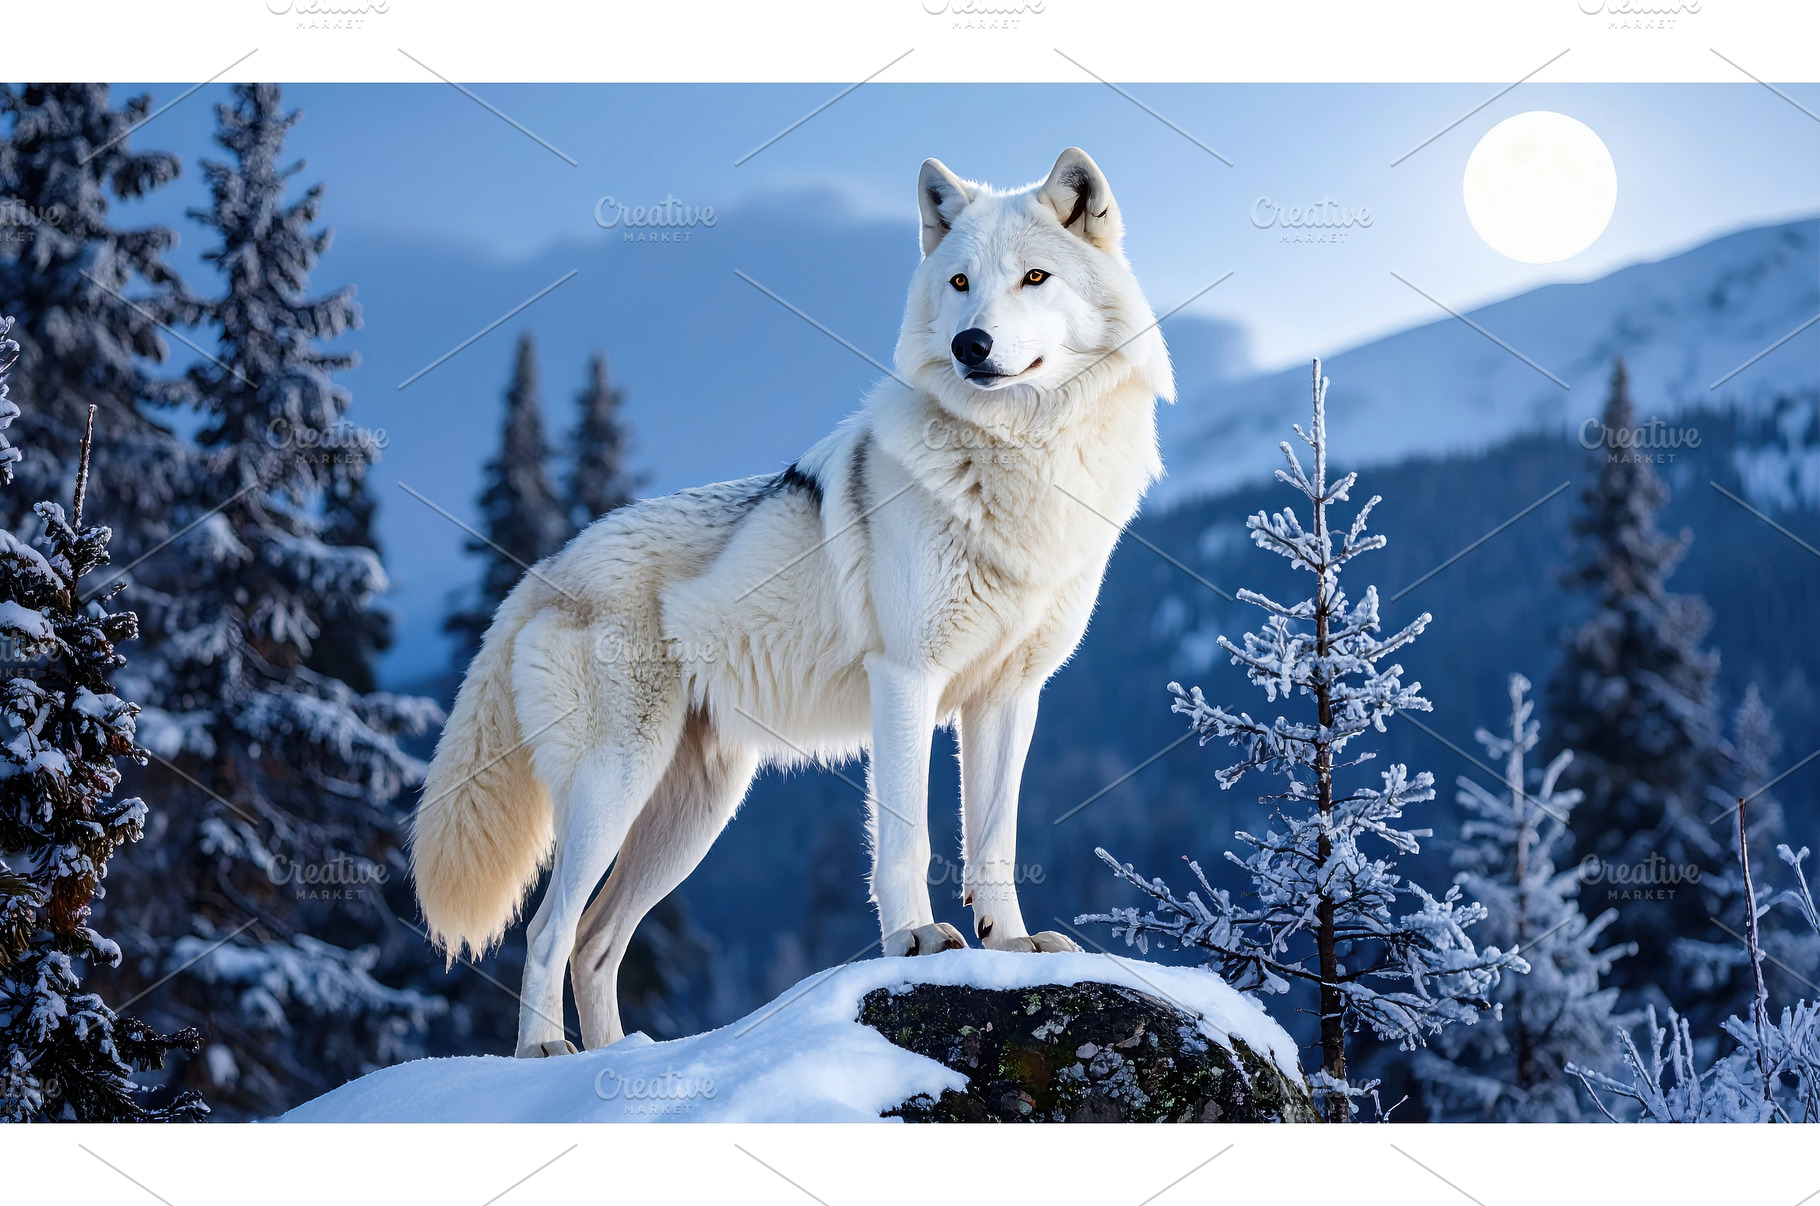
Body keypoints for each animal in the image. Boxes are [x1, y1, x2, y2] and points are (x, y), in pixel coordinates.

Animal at [411, 148, 1175, 1057]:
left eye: (1034, 277)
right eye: (959, 282)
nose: (971, 344)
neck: (1021, 463)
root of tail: (546, 565)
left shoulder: (1008, 696)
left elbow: (993, 841)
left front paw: (1012, 945)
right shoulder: (906, 678)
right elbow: (907, 836)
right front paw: (917, 941)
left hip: (693, 815)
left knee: (596, 941)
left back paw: (621, 1059)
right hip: (614, 787)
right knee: (545, 930)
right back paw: (543, 1052)